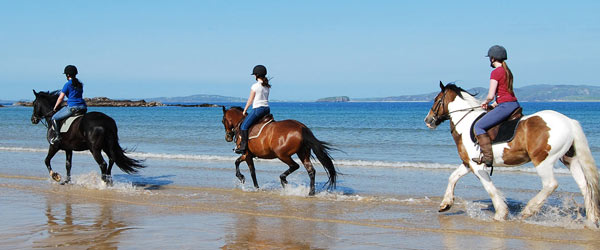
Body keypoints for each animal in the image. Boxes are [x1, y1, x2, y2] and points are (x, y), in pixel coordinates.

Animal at [424, 82, 596, 227]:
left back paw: (528, 210)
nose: (428, 120)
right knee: (584, 185)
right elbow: (453, 177)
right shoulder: (468, 163)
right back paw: (591, 220)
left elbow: (490, 188)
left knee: (550, 184)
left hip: (543, 161)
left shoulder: (477, 166)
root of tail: (569, 122)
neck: (466, 123)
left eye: (436, 100)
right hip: (569, 159)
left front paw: (501, 213)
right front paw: (446, 204)